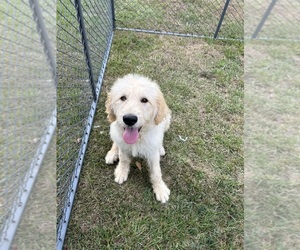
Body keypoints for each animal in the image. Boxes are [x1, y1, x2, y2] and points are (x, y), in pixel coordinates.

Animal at [105, 74, 171, 203]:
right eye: (123, 98)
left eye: (144, 100)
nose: (129, 119)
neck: (138, 138)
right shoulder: (124, 147)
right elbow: (123, 159)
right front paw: (121, 171)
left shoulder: (152, 153)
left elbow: (156, 171)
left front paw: (160, 188)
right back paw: (112, 153)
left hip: (167, 119)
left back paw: (160, 148)